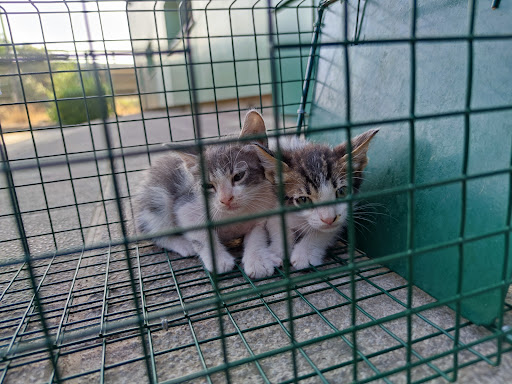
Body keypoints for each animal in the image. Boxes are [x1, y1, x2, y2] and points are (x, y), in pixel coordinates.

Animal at [133, 109, 284, 278]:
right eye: (208, 185)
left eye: (238, 176)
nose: (226, 199)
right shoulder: (186, 206)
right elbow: (201, 235)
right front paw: (219, 259)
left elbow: (258, 235)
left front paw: (258, 260)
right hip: (157, 198)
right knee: (155, 230)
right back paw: (182, 244)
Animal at [254, 129, 378, 270]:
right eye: (303, 200)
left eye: (342, 192)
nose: (329, 219)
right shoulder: (273, 203)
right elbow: (278, 227)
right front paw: (275, 252)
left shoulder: (344, 214)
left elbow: (326, 230)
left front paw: (304, 253)